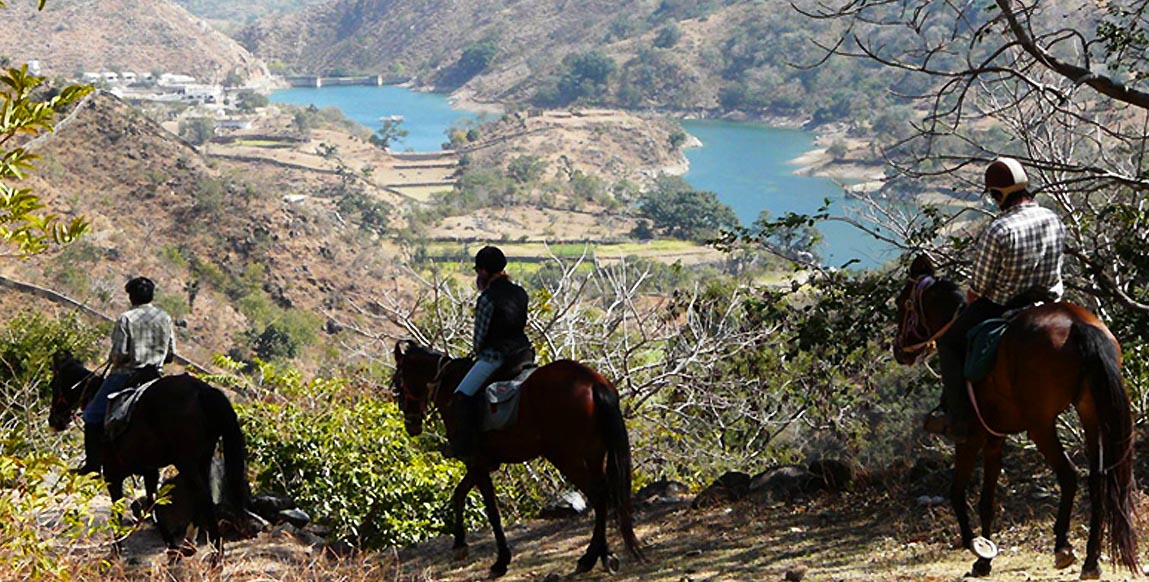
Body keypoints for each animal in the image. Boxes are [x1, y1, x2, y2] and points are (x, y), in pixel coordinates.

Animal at [48, 348, 249, 557]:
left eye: (53, 384)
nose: (54, 421)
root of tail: (203, 391)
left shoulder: (112, 473)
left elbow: (118, 508)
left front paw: (116, 550)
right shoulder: (150, 471)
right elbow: (153, 505)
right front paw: (171, 549)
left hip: (186, 461)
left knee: (204, 498)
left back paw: (215, 553)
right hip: (203, 459)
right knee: (200, 496)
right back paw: (189, 544)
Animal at [392, 339, 648, 580]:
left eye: (398, 384)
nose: (411, 424)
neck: (451, 385)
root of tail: (593, 382)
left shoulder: (476, 461)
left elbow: (492, 511)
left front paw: (500, 561)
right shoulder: (482, 463)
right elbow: (459, 494)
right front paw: (460, 545)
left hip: (565, 456)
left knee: (598, 494)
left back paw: (589, 558)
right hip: (594, 453)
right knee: (603, 495)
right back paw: (602, 555)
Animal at [891, 257, 1135, 580]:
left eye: (902, 303)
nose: (898, 350)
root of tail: (1076, 323)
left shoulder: (971, 437)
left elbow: (957, 491)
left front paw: (975, 546)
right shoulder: (995, 437)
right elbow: (987, 500)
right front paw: (984, 560)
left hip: (1041, 425)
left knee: (1069, 475)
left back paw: (1062, 547)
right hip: (1091, 413)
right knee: (1098, 479)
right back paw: (1091, 560)